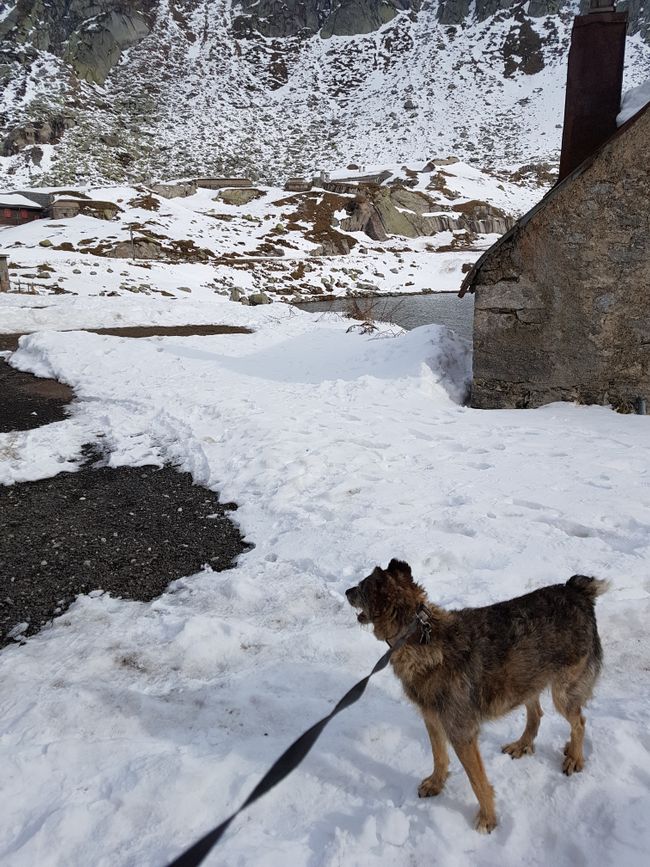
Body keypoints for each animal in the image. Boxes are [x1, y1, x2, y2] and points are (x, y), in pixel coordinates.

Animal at [346, 564, 604, 836]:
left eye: (361, 587)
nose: (346, 591)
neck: (418, 635)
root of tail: (576, 590)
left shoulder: (462, 732)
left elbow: (477, 781)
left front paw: (488, 818)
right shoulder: (432, 719)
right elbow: (439, 756)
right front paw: (436, 783)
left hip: (563, 691)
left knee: (579, 722)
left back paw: (574, 757)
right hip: (525, 679)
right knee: (537, 714)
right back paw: (523, 744)